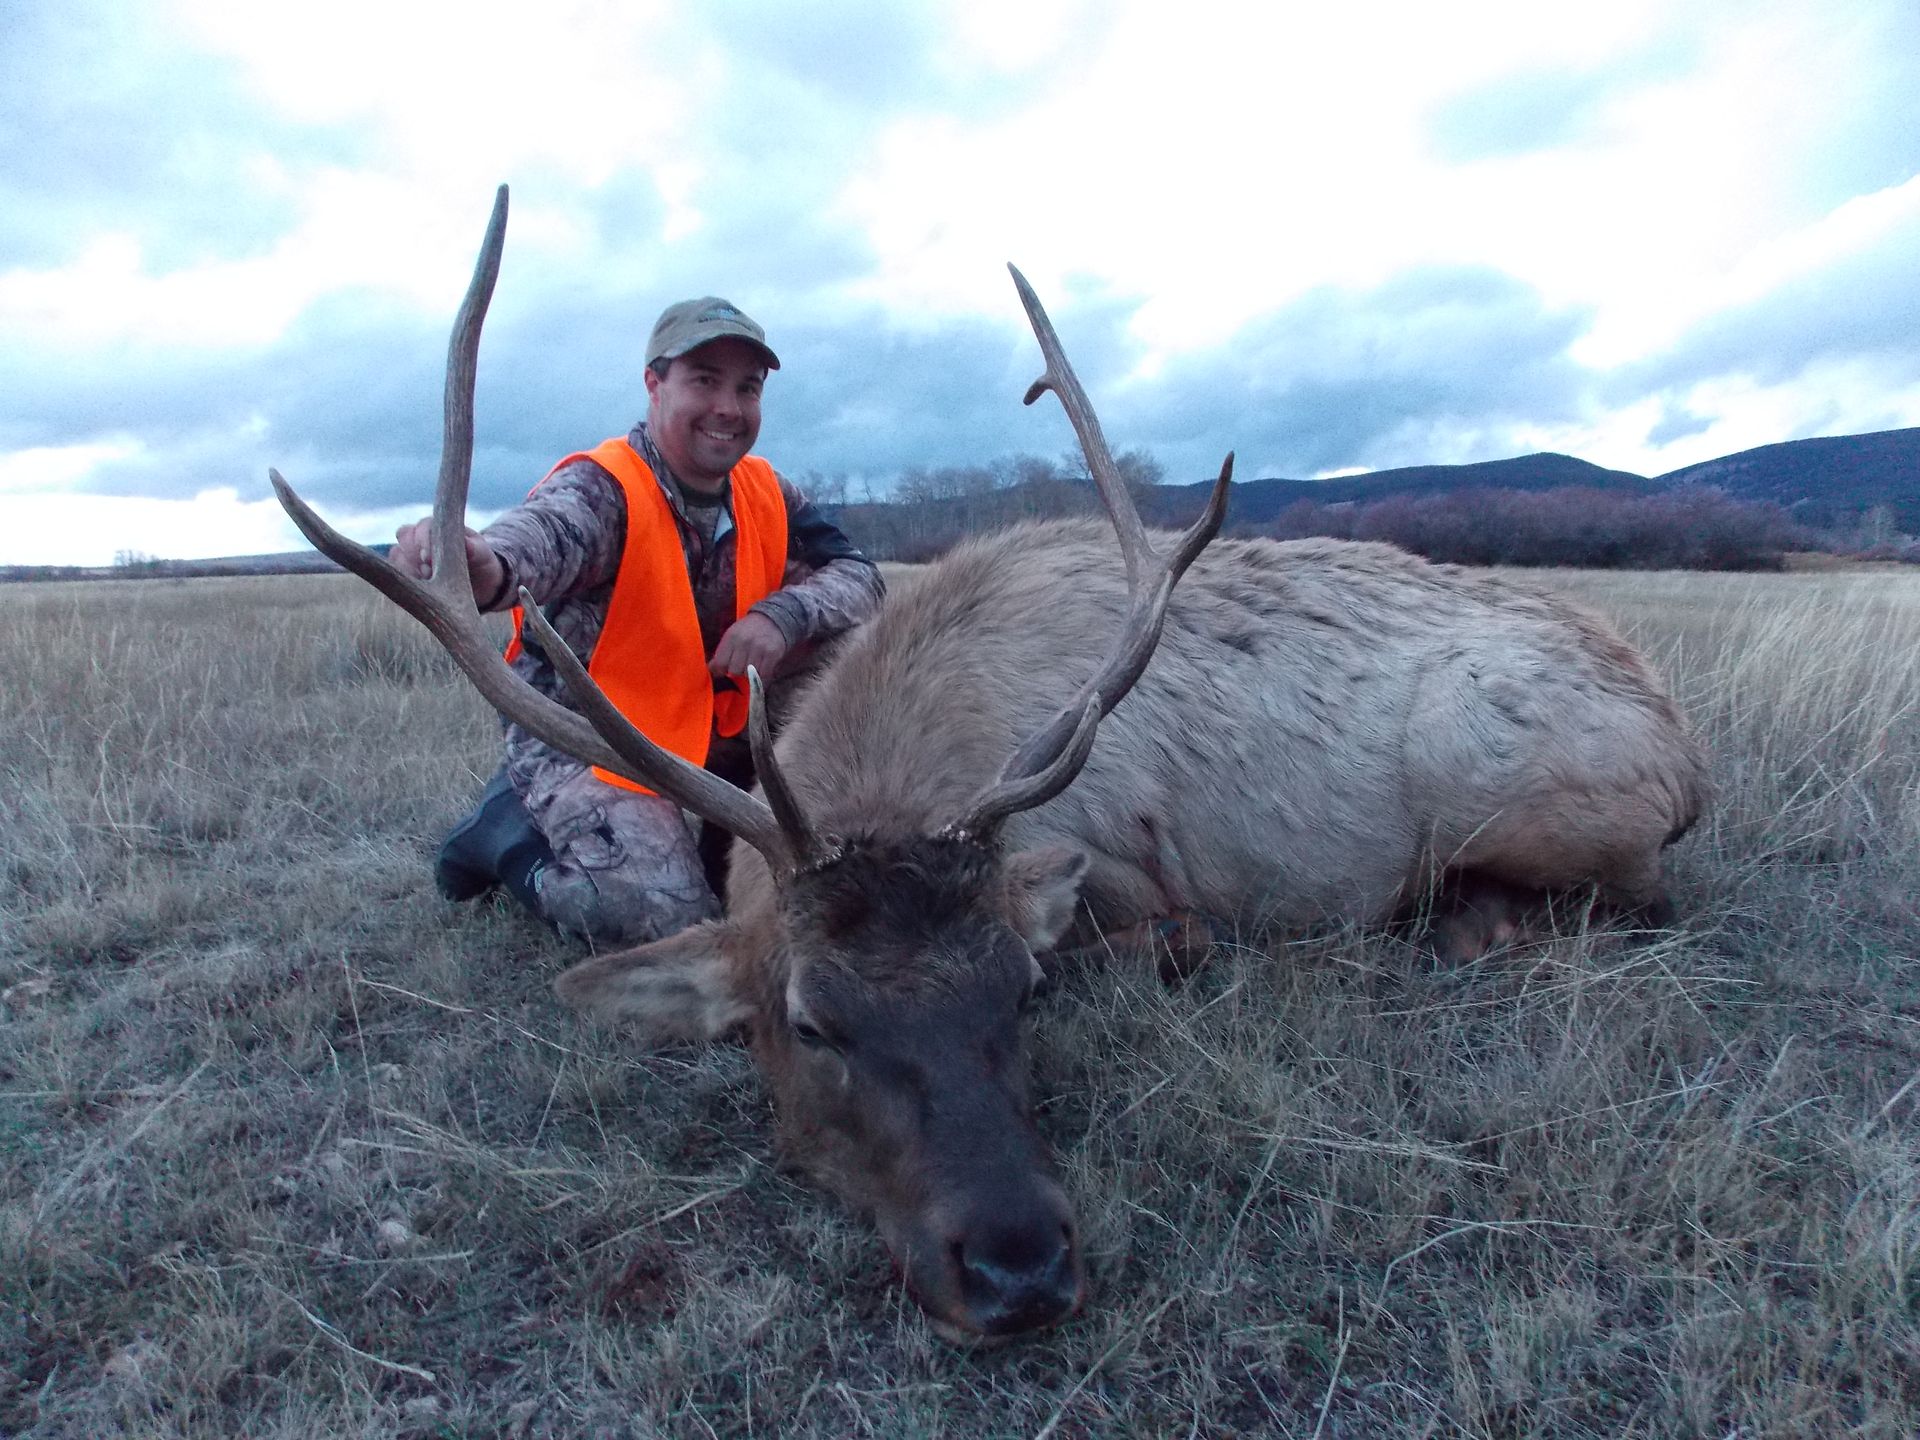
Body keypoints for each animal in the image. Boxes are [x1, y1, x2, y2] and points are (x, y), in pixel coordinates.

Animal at [272, 186, 1709, 1342]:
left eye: (1021, 989)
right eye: (810, 1022)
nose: (1022, 1271)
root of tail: (1684, 757)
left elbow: (1176, 935)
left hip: (1522, 785)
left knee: (1632, 901)